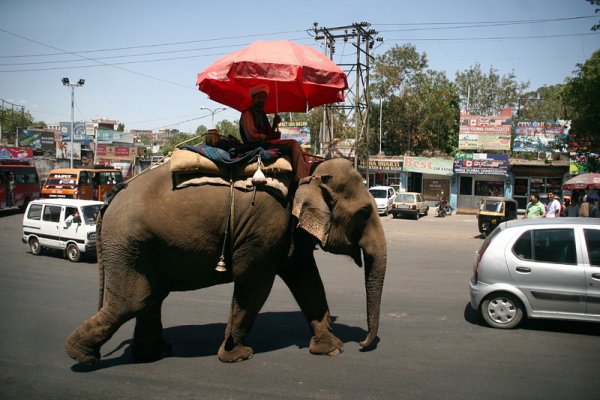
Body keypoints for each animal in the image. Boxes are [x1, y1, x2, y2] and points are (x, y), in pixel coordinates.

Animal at [64, 158, 384, 364]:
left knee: (148, 298)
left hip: (140, 247)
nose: (363, 345)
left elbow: (307, 280)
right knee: (133, 301)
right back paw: (83, 357)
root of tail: (109, 199)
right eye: (364, 213)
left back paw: (154, 354)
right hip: (129, 244)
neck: (308, 174)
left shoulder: (288, 235)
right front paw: (236, 356)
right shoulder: (264, 229)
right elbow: (254, 283)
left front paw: (331, 350)